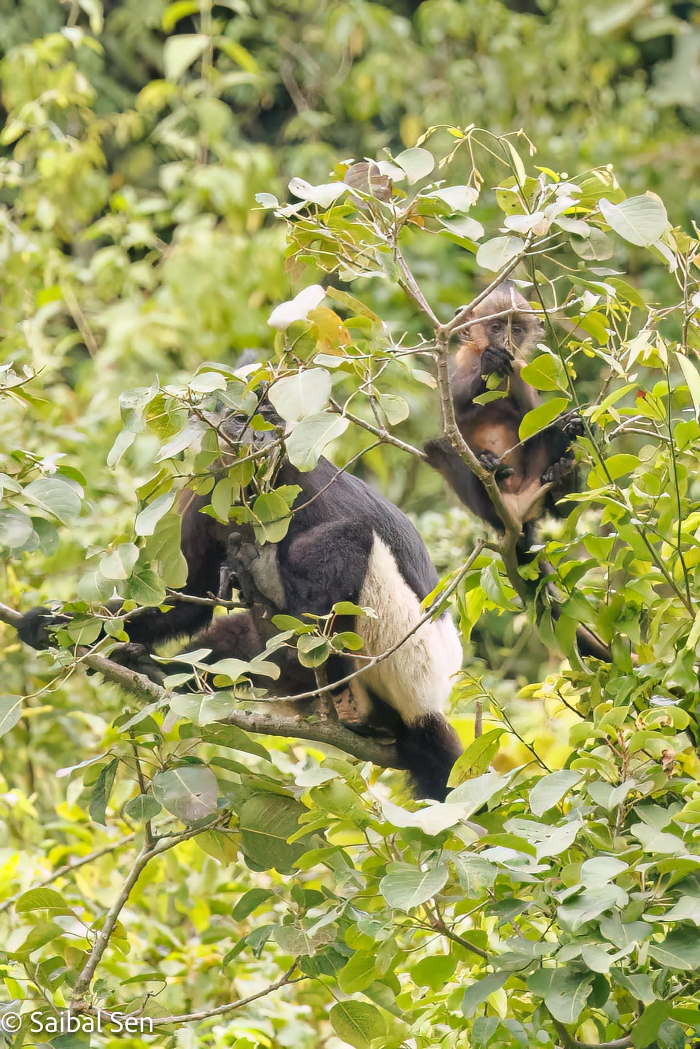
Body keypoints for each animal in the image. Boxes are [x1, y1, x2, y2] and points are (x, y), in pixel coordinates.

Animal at [17, 404, 465, 797]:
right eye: (239, 419)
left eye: (266, 419)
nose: (257, 437)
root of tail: (426, 710)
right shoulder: (207, 492)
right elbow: (185, 599)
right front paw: (51, 625)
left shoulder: (299, 479)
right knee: (244, 638)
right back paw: (162, 672)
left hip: (399, 652)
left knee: (352, 538)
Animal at [423, 276, 583, 558]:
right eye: (496, 327)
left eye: (516, 330)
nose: (506, 342)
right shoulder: (462, 360)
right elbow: (451, 418)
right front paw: (490, 362)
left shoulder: (520, 370)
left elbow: (538, 421)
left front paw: (575, 426)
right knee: (438, 448)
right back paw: (489, 467)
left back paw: (563, 482)